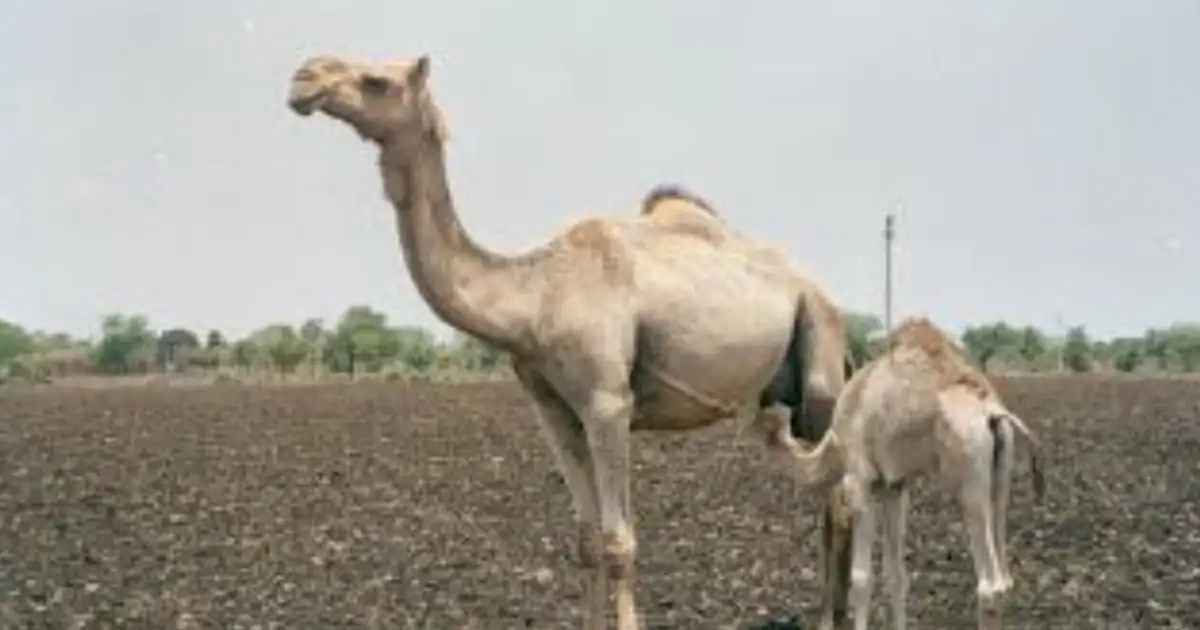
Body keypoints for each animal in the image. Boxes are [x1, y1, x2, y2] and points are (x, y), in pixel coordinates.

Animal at [285, 53, 854, 630]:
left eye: (376, 81)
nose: (304, 77)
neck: (535, 296)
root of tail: (822, 293)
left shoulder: (608, 403)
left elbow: (620, 541)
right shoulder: (553, 407)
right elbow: (586, 540)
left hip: (820, 364)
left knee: (837, 498)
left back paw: (830, 618)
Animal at [826, 316, 1046, 630]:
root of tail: (992, 412)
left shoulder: (861, 478)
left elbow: (861, 579)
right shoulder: (894, 484)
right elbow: (896, 574)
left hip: (969, 486)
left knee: (989, 585)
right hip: (1000, 476)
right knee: (1004, 580)